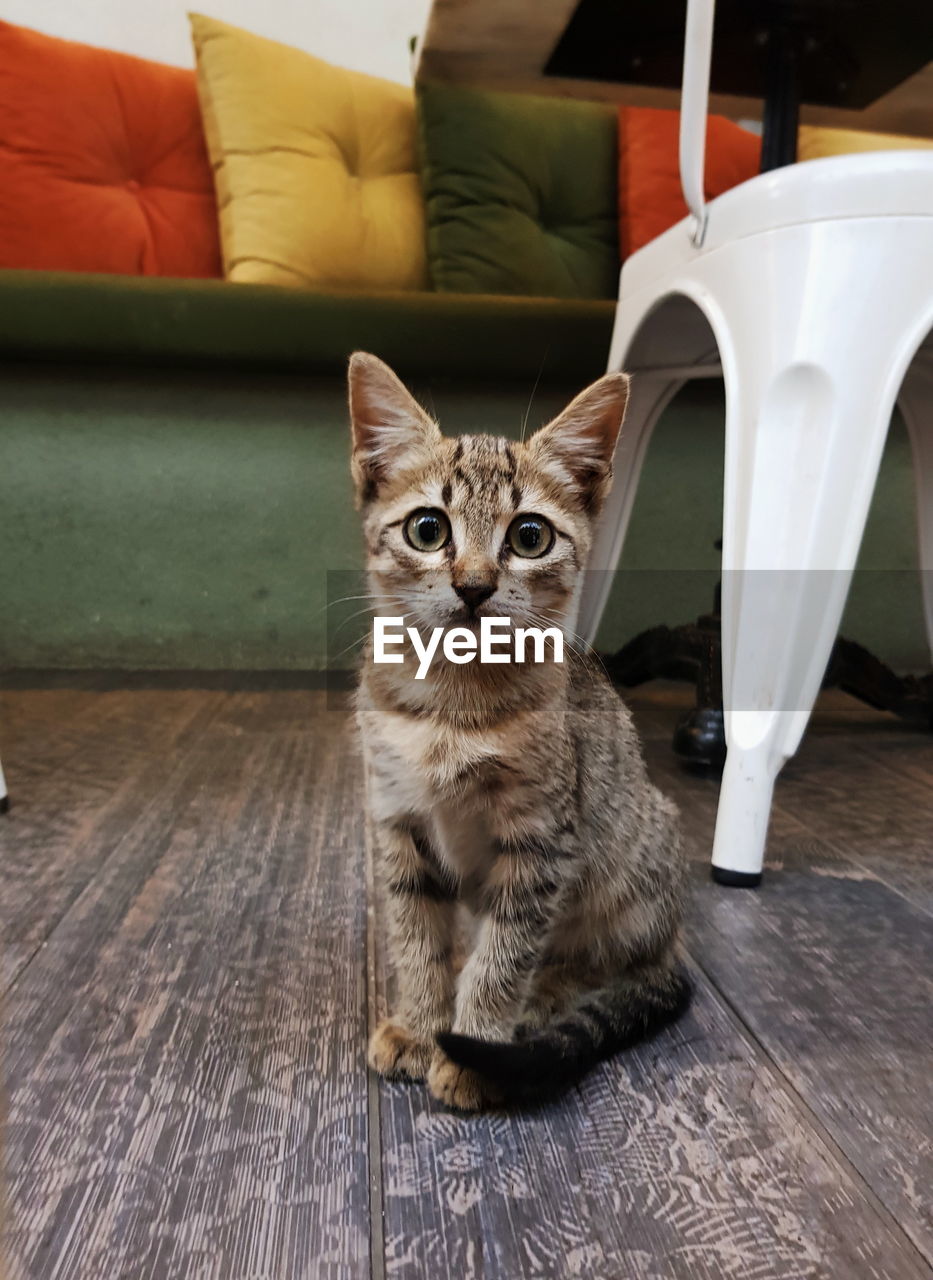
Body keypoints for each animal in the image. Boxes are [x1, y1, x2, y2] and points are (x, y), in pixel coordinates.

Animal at [345, 350, 685, 1111]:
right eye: (427, 529)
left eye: (529, 537)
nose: (473, 586)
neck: (453, 703)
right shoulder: (396, 820)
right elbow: (416, 937)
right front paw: (421, 1024)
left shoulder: (540, 840)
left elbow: (505, 953)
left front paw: (473, 1047)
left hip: (630, 860)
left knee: (602, 966)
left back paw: (542, 1002)